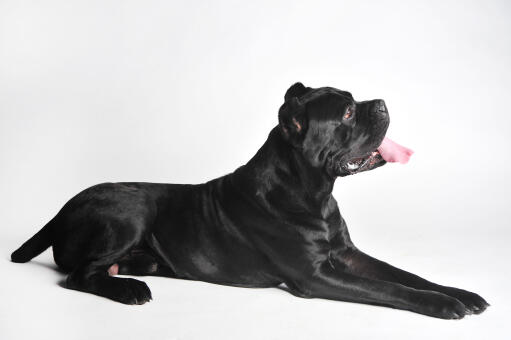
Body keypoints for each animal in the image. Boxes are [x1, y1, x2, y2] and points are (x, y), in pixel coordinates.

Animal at [10, 83, 488, 318]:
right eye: (349, 112)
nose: (384, 103)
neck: (315, 192)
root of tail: (61, 209)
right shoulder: (315, 275)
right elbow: (389, 288)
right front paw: (444, 305)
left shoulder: (348, 255)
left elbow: (404, 274)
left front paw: (463, 293)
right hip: (132, 209)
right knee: (77, 275)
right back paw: (130, 290)